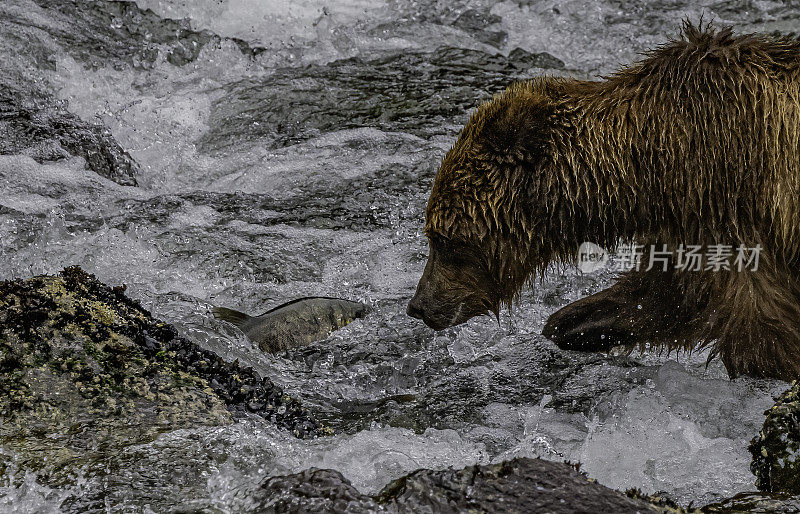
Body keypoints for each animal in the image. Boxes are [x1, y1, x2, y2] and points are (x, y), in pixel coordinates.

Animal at [410, 24, 800, 380]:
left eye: (444, 240)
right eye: (433, 236)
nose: (419, 305)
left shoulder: (730, 197)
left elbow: (759, 326)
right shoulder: (685, 222)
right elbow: (662, 296)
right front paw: (569, 323)